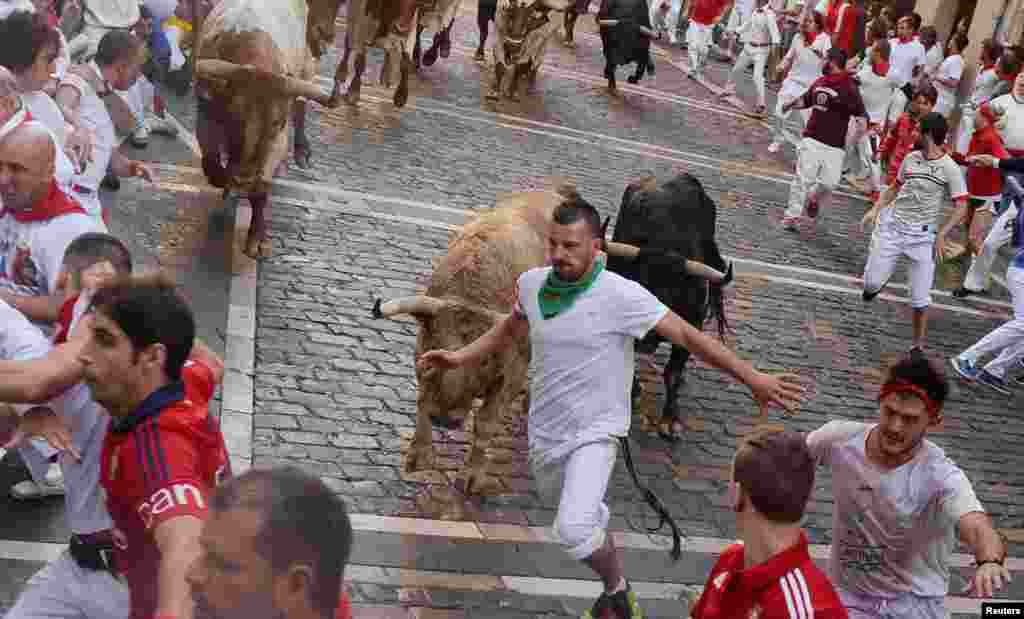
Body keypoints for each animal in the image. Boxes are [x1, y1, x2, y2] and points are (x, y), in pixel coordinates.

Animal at [602, 172, 733, 438]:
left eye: (674, 290)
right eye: (638, 281)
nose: (646, 339)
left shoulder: (693, 324)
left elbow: (672, 372)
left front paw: (670, 420)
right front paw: (633, 392)